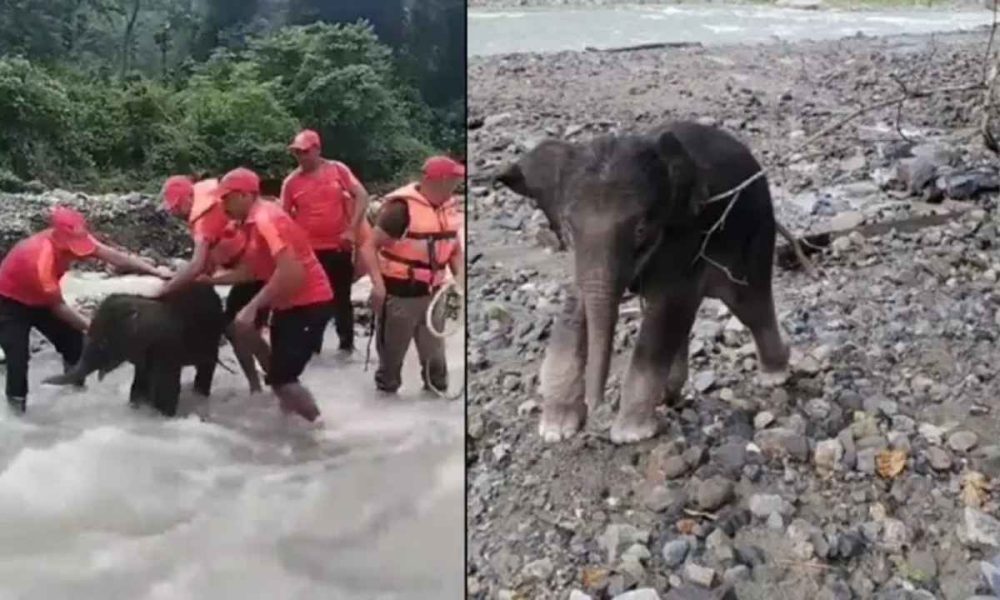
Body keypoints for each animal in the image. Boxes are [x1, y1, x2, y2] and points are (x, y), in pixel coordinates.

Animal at [45, 282, 225, 414]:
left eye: (104, 342)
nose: (42, 381)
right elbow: (139, 383)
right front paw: (137, 407)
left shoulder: (166, 346)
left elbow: (166, 388)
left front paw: (161, 415)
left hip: (212, 336)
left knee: (206, 366)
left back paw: (200, 394)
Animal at [496, 119, 792, 442]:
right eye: (568, 229)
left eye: (640, 229)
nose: (595, 410)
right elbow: (575, 307)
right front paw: (556, 430)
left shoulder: (687, 231)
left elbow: (665, 309)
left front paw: (630, 434)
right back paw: (669, 396)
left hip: (756, 234)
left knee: (749, 305)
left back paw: (775, 377)